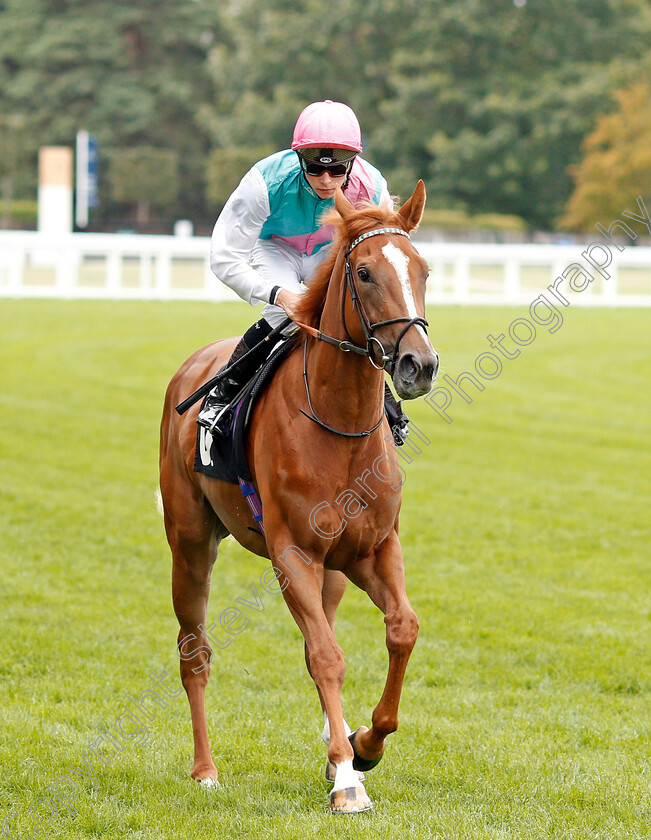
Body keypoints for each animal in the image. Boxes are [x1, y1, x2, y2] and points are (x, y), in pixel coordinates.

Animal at [160, 179, 440, 812]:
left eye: (422, 268)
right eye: (363, 272)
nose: (419, 364)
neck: (341, 426)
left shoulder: (373, 548)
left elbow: (401, 629)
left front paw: (363, 746)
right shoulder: (293, 554)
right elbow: (327, 656)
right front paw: (347, 781)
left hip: (333, 571)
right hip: (190, 543)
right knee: (195, 652)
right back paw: (205, 768)